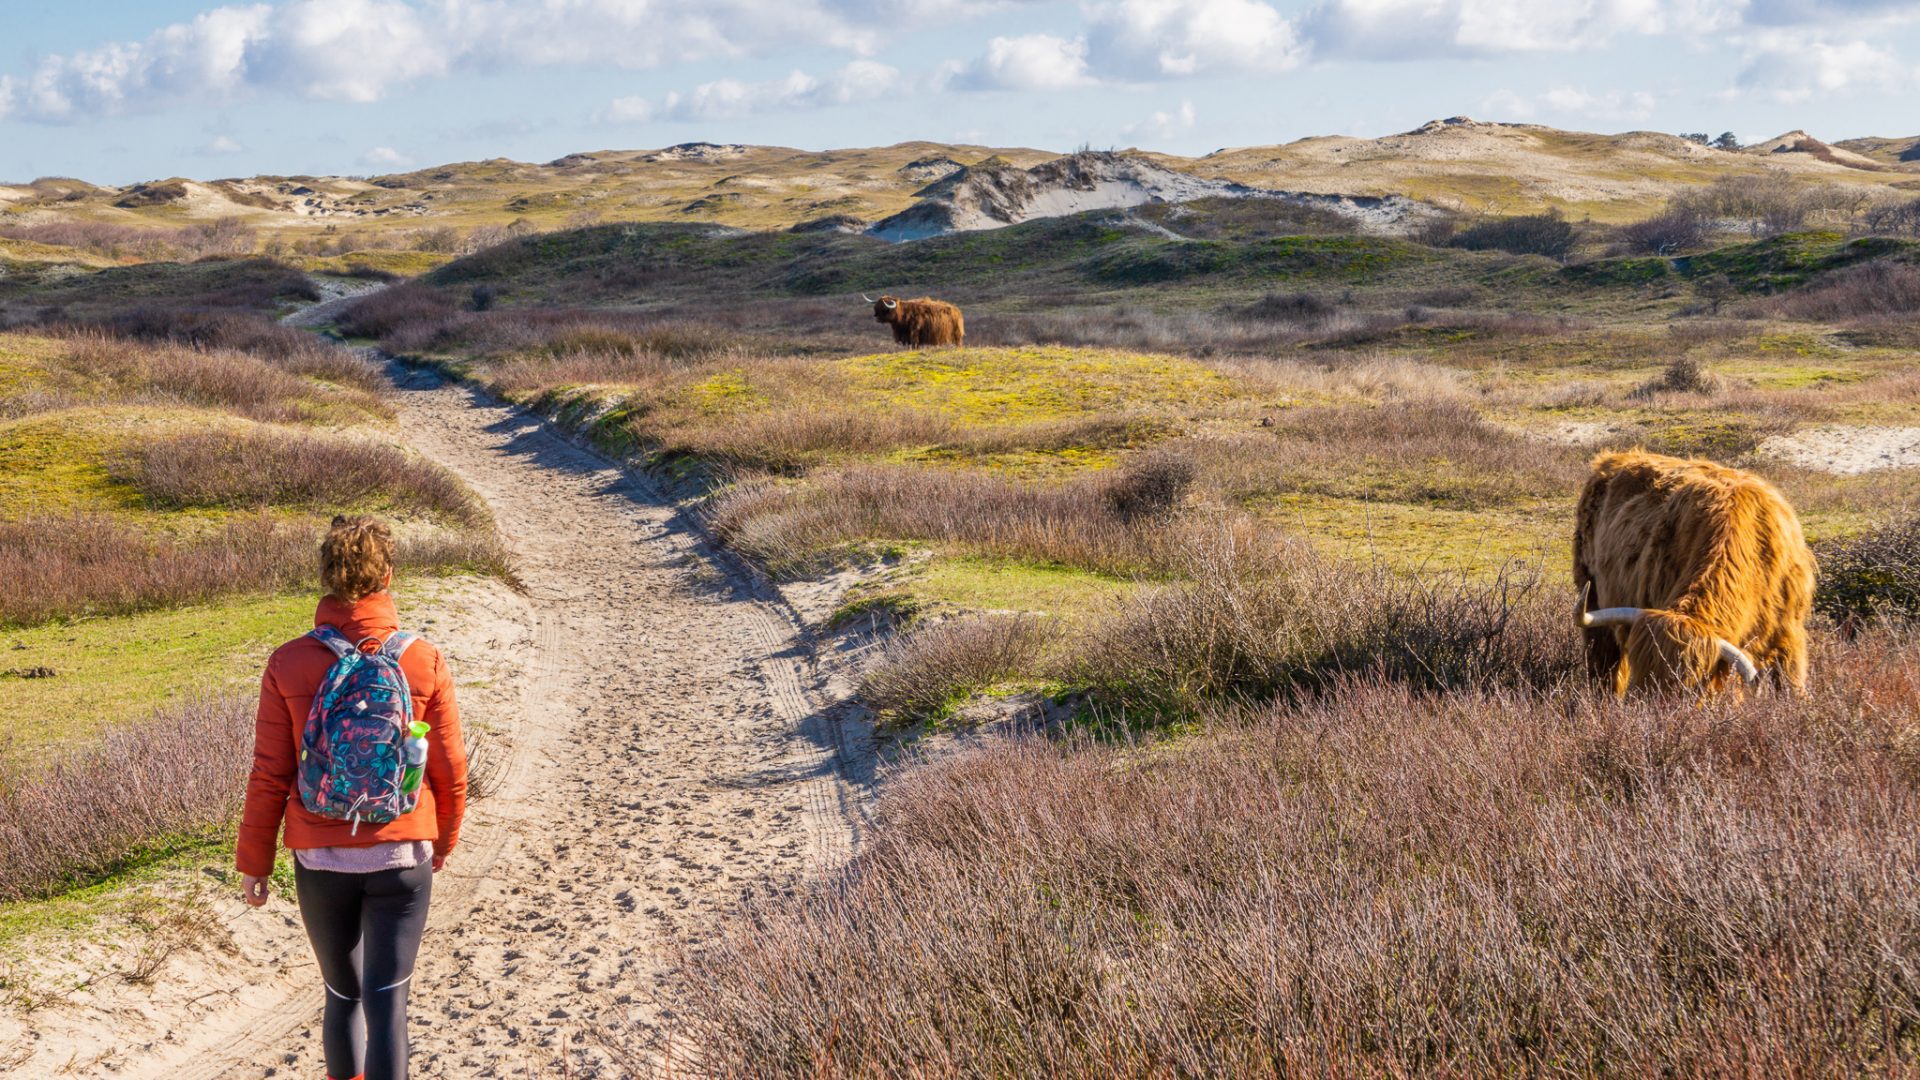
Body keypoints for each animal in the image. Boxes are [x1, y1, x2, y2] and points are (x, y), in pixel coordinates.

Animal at [1574, 447, 1812, 691]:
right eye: (1641, 681)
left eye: (1689, 687)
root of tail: (1614, 457)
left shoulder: (1789, 634)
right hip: (1592, 598)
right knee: (1604, 666)